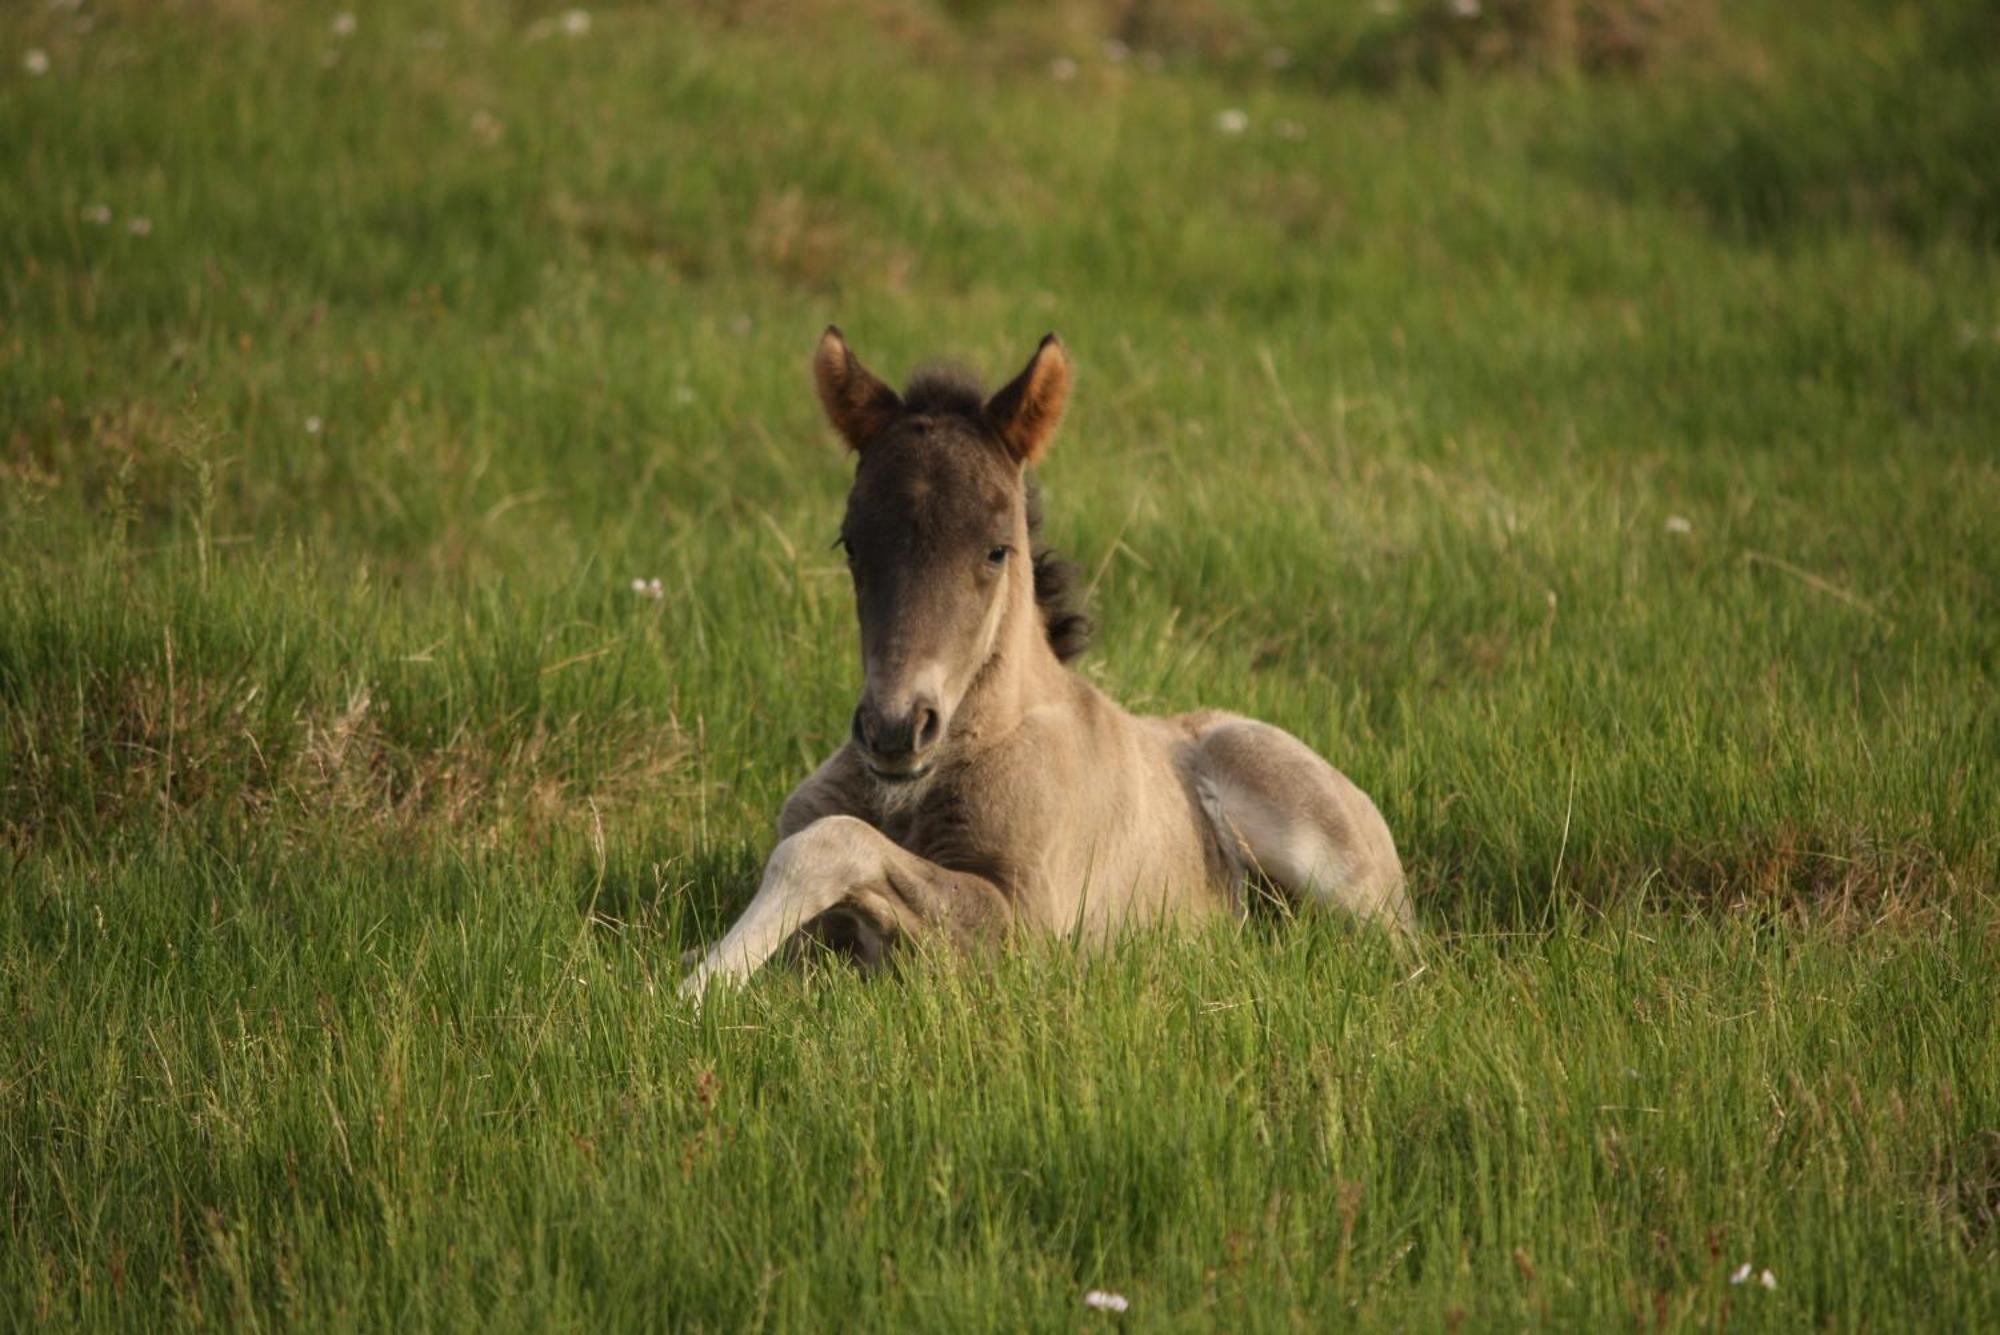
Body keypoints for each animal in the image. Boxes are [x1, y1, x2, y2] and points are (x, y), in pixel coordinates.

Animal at [680, 333, 1416, 999]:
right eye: (851, 544)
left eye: (996, 549)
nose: (894, 727)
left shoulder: (1024, 927)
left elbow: (832, 845)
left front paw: (690, 992)